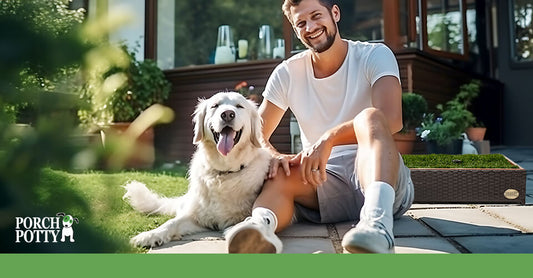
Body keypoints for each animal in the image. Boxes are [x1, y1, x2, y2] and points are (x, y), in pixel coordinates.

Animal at [123, 92, 270, 249]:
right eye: (215, 106)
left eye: (239, 106)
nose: (227, 114)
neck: (223, 173)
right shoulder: (197, 217)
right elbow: (171, 222)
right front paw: (150, 235)